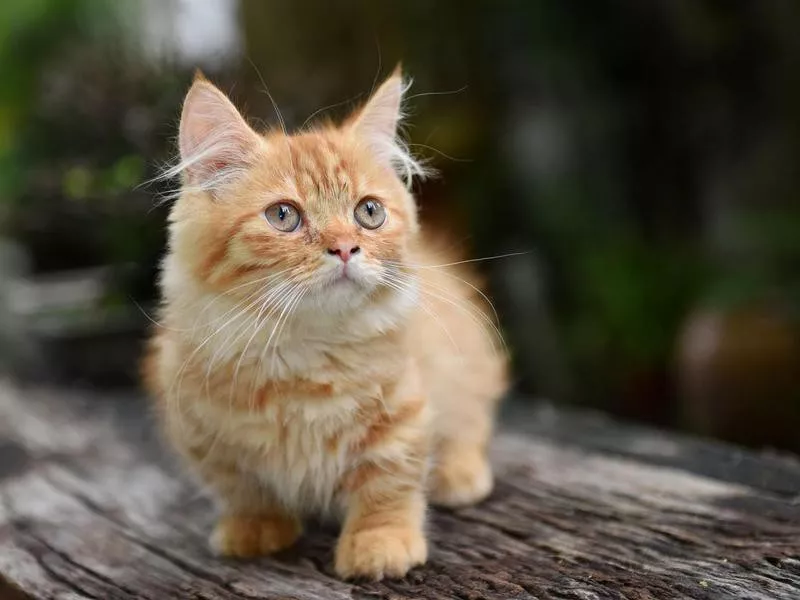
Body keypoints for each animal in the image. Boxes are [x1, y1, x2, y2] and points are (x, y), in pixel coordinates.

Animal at [143, 67, 506, 580]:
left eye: (369, 212)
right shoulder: (200, 428)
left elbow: (388, 482)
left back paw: (458, 474)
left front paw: (380, 543)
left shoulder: (403, 412)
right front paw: (256, 528)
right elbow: (241, 486)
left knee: (471, 421)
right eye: (283, 215)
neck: (303, 353)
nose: (345, 248)